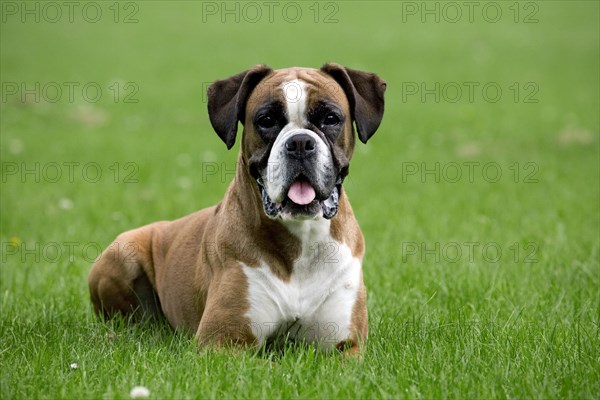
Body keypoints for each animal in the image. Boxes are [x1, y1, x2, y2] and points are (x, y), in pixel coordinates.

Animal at [89, 63, 390, 354]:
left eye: (330, 119)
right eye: (266, 121)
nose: (300, 143)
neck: (301, 242)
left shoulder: (345, 347)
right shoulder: (222, 342)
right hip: (123, 251)